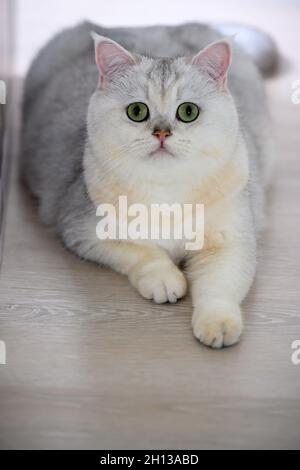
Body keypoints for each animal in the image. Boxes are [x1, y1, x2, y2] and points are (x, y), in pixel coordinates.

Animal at [22, 22, 278, 348]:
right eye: (137, 112)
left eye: (188, 112)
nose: (162, 133)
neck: (166, 192)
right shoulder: (85, 231)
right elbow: (144, 252)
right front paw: (166, 280)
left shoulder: (231, 242)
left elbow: (219, 287)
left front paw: (218, 324)